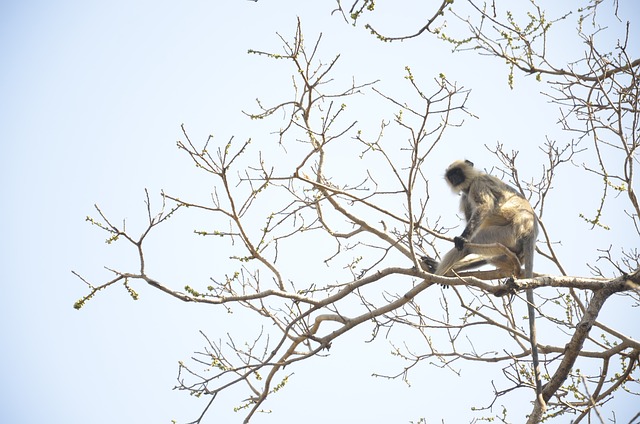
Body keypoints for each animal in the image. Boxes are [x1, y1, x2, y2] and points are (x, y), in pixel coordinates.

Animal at [424, 160, 544, 410]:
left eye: (458, 173)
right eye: (452, 175)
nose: (456, 179)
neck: (469, 184)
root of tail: (531, 230)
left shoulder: (477, 184)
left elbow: (484, 208)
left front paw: (460, 239)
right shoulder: (464, 196)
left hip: (505, 233)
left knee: (470, 244)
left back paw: (440, 274)